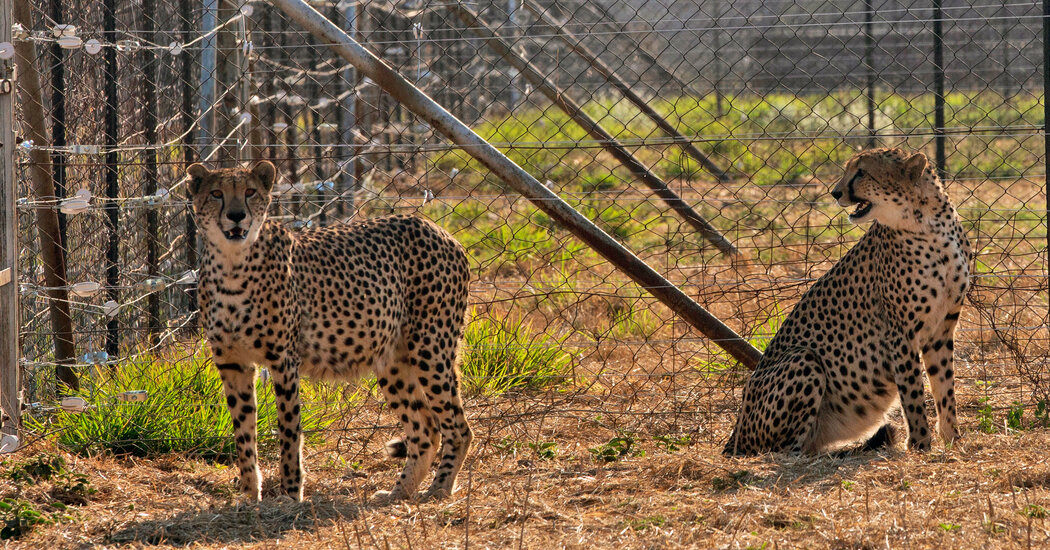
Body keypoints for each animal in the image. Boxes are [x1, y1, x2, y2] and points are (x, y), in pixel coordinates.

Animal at [187, 160, 473, 503]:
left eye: (250, 191)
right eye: (217, 193)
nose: (236, 215)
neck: (232, 263)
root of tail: (434, 227)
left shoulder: (284, 360)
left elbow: (289, 430)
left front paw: (290, 494)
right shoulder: (233, 363)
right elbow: (243, 432)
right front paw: (248, 495)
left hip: (430, 349)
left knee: (458, 427)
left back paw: (439, 488)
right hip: (392, 361)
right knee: (426, 430)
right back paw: (397, 493)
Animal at [723, 147, 971, 456]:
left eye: (861, 172)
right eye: (848, 169)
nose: (835, 192)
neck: (929, 224)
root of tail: (734, 434)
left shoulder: (942, 328)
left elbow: (944, 387)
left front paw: (952, 440)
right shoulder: (900, 332)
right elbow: (913, 393)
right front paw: (920, 445)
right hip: (804, 358)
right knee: (784, 449)